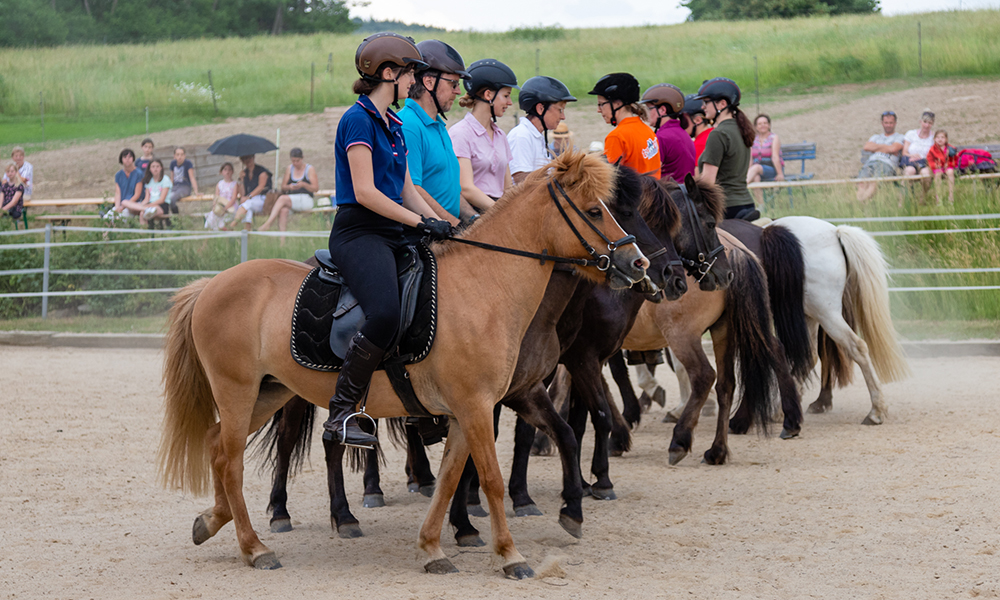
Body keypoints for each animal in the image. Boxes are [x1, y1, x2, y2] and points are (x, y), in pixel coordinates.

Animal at [156, 150, 648, 576]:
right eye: (595, 210)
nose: (638, 263)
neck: (483, 284)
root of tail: (211, 285)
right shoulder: (476, 407)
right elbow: (488, 479)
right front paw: (510, 556)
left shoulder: (466, 411)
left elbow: (450, 478)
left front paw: (433, 548)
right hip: (238, 390)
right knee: (233, 460)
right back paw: (256, 547)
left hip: (269, 391)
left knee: (218, 446)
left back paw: (211, 520)